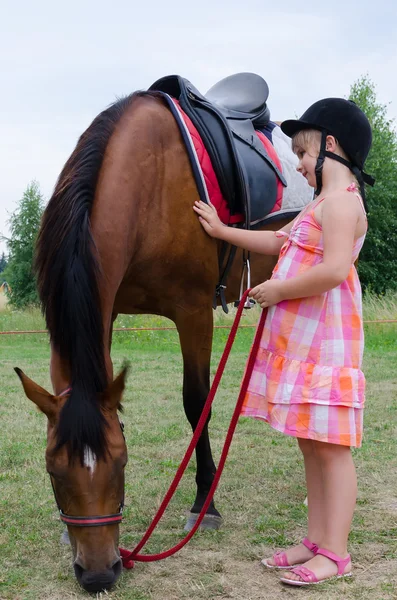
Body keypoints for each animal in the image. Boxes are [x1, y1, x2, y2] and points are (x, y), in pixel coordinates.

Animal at [15, 89, 310, 592]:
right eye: (53, 470)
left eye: (121, 463)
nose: (99, 573)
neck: (148, 184)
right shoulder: (107, 307)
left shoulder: (192, 311)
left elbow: (197, 402)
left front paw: (205, 503)